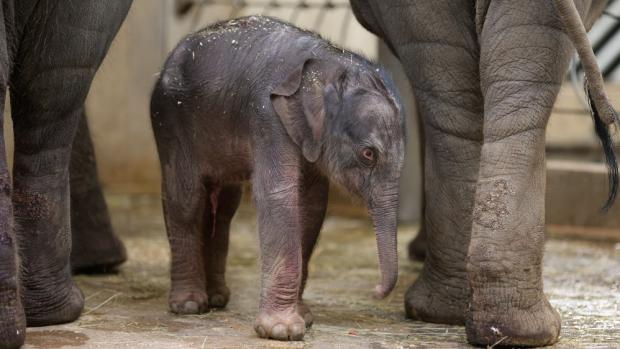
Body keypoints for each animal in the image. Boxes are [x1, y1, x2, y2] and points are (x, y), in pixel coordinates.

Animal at [151, 16, 406, 340]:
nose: (376, 291)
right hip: (169, 121)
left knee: (224, 208)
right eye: (368, 154)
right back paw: (189, 306)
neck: (328, 61)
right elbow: (279, 195)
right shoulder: (267, 118)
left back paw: (218, 298)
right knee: (186, 200)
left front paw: (304, 318)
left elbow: (311, 205)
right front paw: (282, 331)